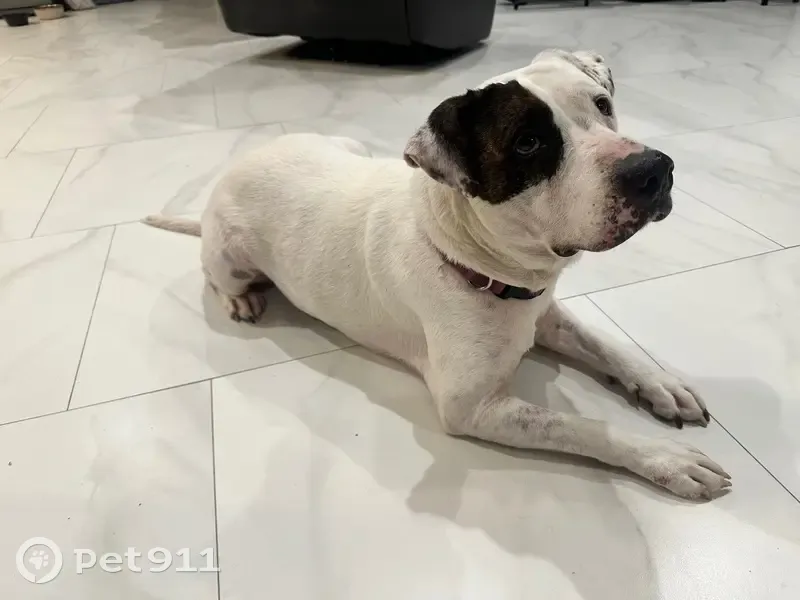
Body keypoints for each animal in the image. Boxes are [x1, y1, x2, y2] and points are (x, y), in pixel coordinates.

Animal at [144, 49, 731, 500]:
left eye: (603, 105)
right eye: (528, 143)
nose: (653, 170)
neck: (477, 263)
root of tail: (235, 169)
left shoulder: (543, 313)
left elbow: (605, 343)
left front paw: (660, 383)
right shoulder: (473, 408)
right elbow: (585, 428)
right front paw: (666, 459)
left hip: (346, 147)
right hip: (229, 254)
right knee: (215, 274)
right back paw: (239, 299)